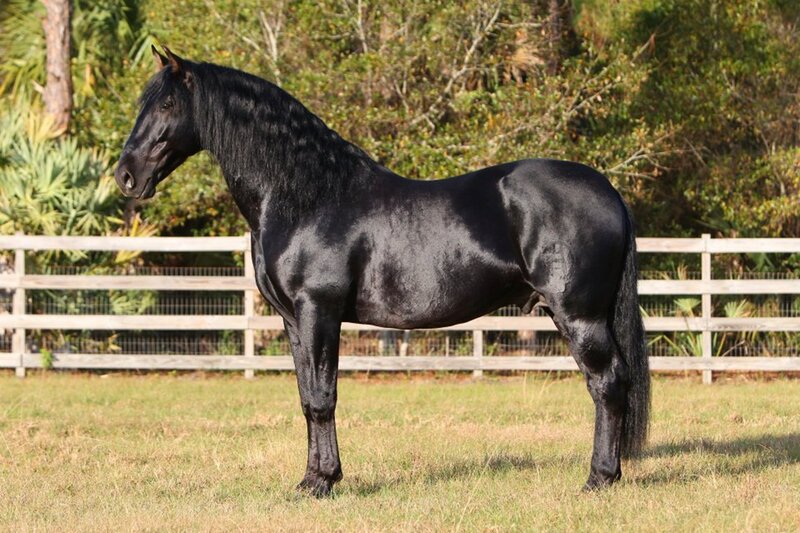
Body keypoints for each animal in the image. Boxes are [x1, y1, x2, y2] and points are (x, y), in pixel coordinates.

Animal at [115, 46, 650, 497]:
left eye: (167, 104)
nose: (125, 176)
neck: (307, 196)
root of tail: (608, 191)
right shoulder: (293, 321)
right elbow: (306, 397)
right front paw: (310, 479)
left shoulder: (319, 310)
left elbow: (323, 397)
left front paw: (323, 483)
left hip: (578, 315)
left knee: (606, 384)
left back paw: (599, 479)